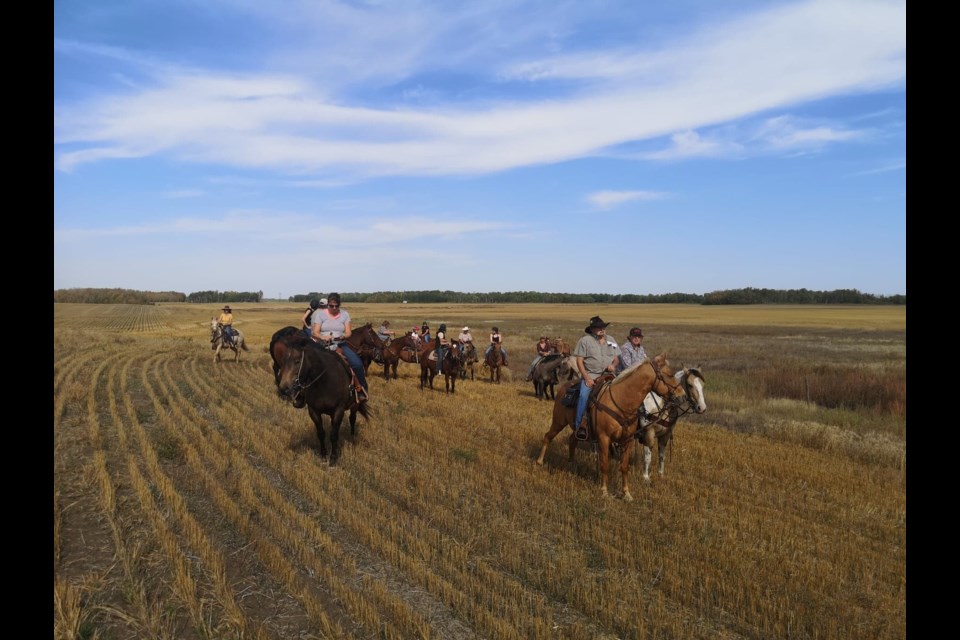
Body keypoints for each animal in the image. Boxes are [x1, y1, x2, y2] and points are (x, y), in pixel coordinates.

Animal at [276, 330, 374, 464]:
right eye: (282, 361)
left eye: (297, 361)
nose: (283, 388)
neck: (324, 380)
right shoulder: (313, 411)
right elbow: (321, 433)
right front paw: (323, 454)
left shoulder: (338, 410)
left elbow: (333, 434)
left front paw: (333, 457)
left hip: (355, 404)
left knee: (352, 418)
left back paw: (352, 437)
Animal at [536, 352, 688, 502]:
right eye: (670, 375)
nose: (683, 396)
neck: (622, 402)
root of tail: (565, 386)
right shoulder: (604, 439)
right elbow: (604, 465)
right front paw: (604, 491)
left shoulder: (628, 440)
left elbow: (624, 467)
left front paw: (626, 493)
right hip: (558, 422)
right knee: (548, 437)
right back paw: (539, 461)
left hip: (578, 428)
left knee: (572, 440)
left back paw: (571, 464)